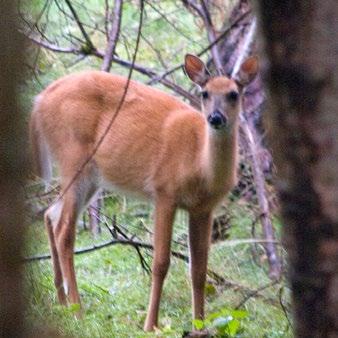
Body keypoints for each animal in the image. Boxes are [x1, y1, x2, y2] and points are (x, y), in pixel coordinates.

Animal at [29, 54, 258, 332]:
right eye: (204, 93)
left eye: (234, 94)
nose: (215, 118)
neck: (200, 166)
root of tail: (39, 99)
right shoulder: (164, 192)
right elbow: (161, 263)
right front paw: (151, 324)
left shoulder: (203, 208)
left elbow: (199, 270)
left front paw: (200, 326)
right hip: (73, 156)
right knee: (64, 230)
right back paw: (77, 311)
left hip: (92, 175)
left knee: (51, 214)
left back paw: (62, 303)